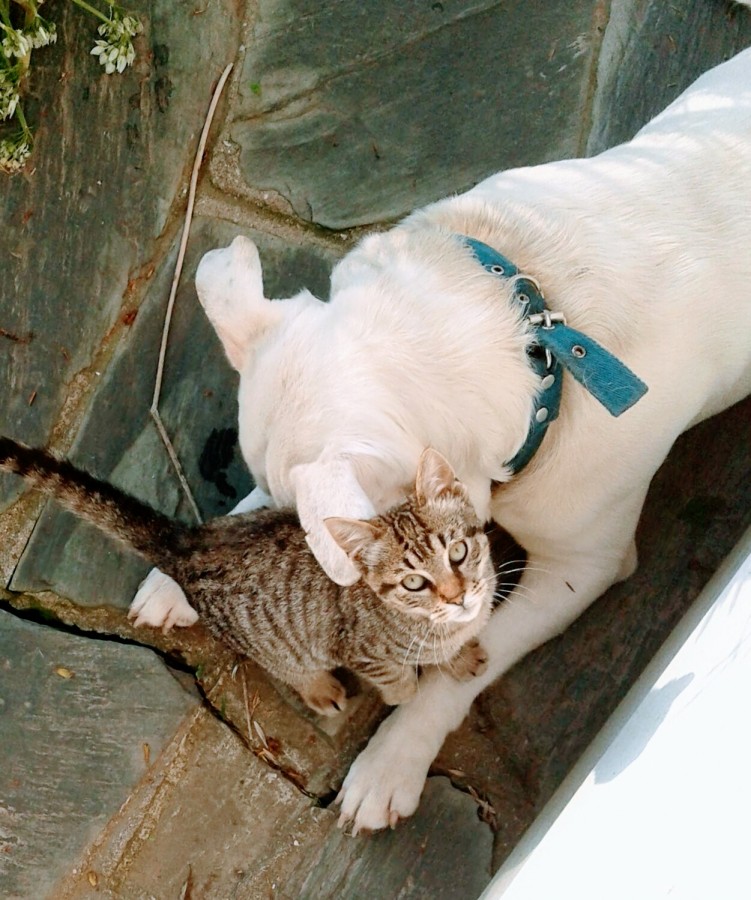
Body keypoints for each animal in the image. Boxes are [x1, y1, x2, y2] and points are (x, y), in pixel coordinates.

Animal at [1, 438, 500, 716]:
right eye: (413, 582)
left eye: (458, 551)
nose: (457, 597)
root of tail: (188, 541)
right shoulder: (363, 653)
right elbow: (400, 678)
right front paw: (407, 695)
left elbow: (445, 652)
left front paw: (459, 659)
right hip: (270, 642)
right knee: (286, 665)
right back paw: (319, 689)